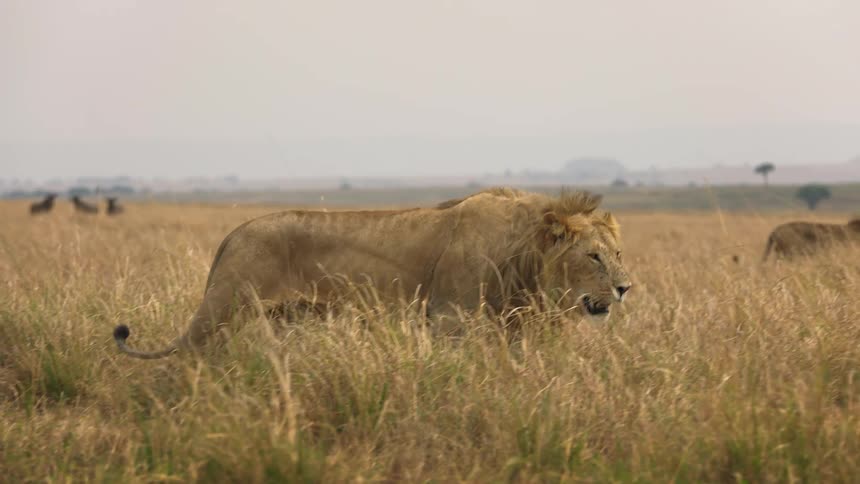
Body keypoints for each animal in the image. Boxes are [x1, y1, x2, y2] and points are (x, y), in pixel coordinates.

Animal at [113, 188, 633, 359]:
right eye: (593, 257)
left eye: (618, 253)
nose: (626, 288)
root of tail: (232, 234)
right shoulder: (450, 322)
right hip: (222, 310)